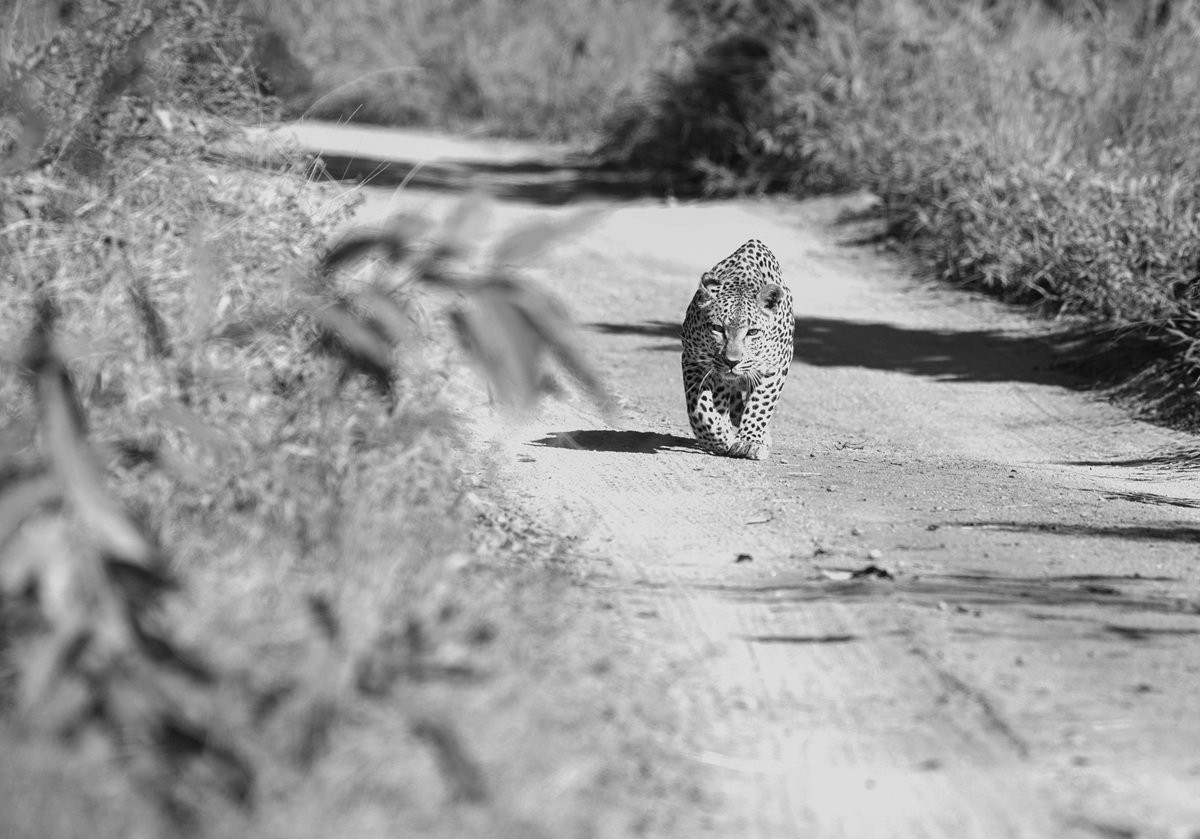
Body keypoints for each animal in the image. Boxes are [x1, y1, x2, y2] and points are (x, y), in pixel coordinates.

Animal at [681, 238, 794, 461]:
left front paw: (750, 442)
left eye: (753, 332)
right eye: (717, 328)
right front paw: (718, 437)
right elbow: (700, 408)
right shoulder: (693, 359)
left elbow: (761, 404)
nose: (732, 361)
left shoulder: (776, 366)